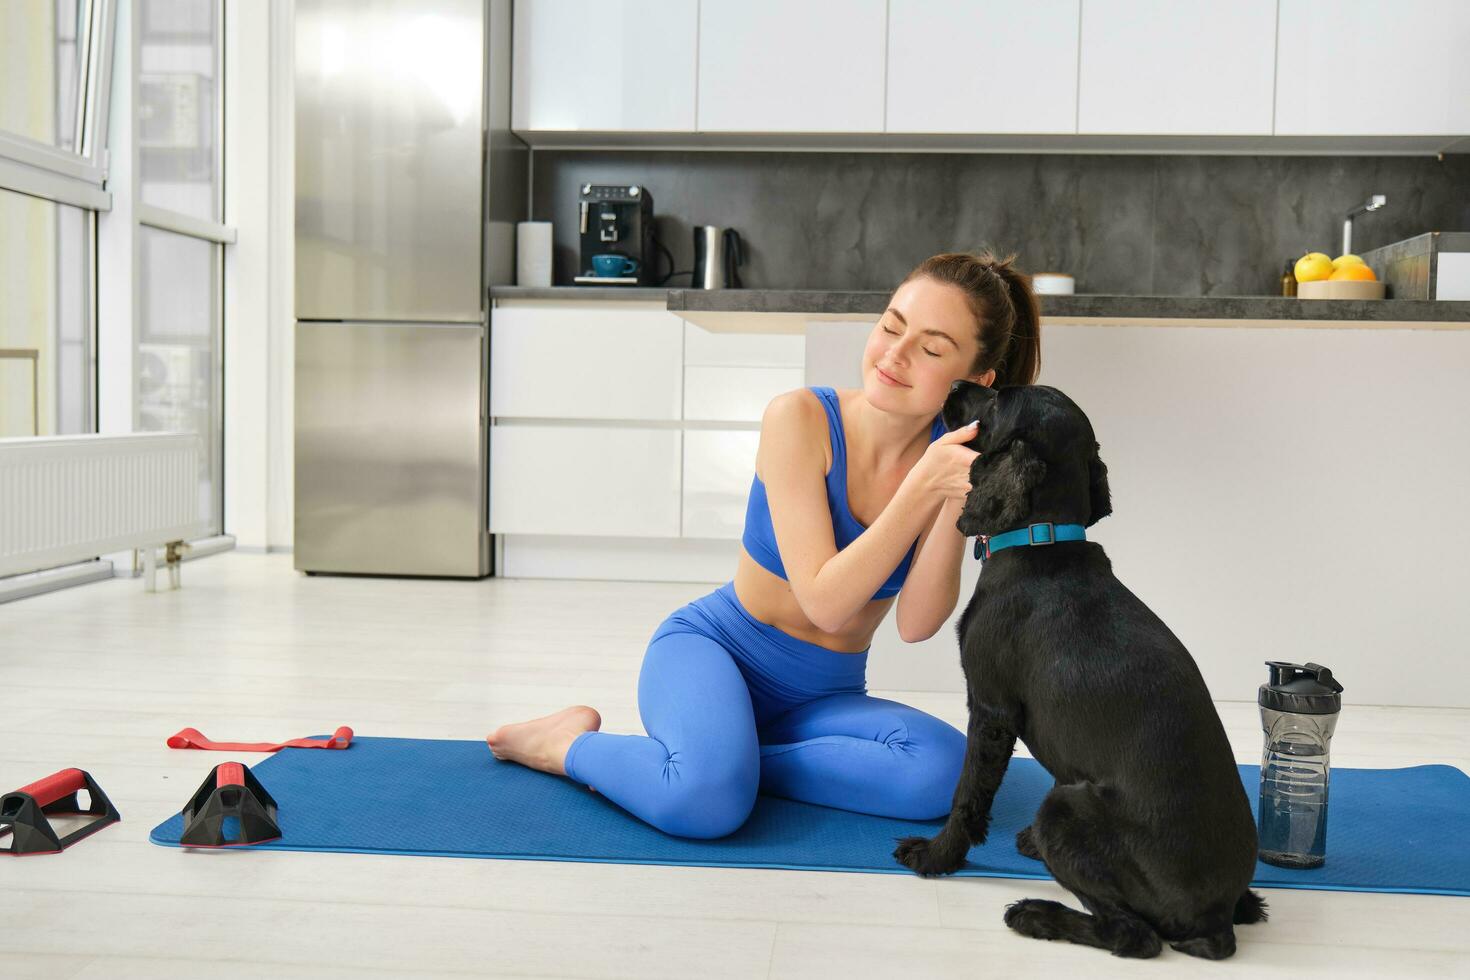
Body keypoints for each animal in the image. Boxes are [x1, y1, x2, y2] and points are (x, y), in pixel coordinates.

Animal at [887, 382, 1270, 957]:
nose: (954, 387)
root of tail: (1216, 918)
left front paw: (936, 857)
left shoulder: (990, 708)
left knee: (1133, 935)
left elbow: (968, 795)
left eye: (997, 401)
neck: (1041, 540)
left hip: (1063, 807)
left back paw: (1035, 914)